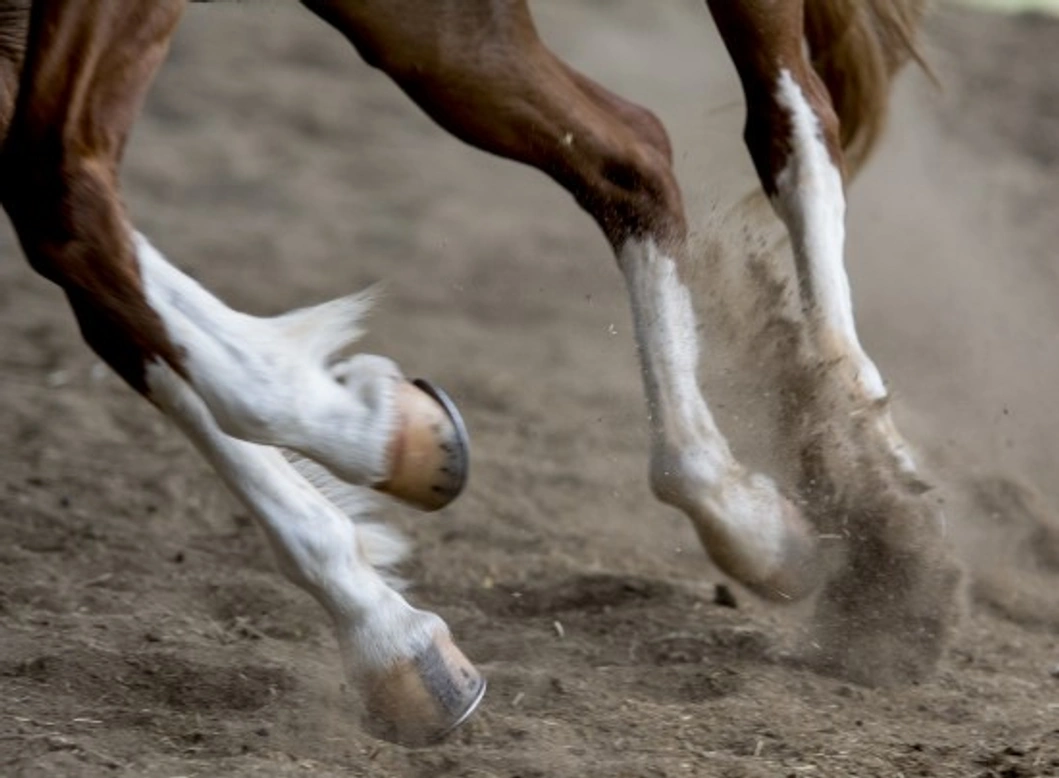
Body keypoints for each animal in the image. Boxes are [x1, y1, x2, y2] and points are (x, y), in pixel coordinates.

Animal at [0, 0, 962, 746]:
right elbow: (112, 296)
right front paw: (388, 636)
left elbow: (63, 203)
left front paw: (389, 429)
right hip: (435, 26)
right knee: (631, 153)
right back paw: (756, 515)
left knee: (790, 126)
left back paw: (877, 494)